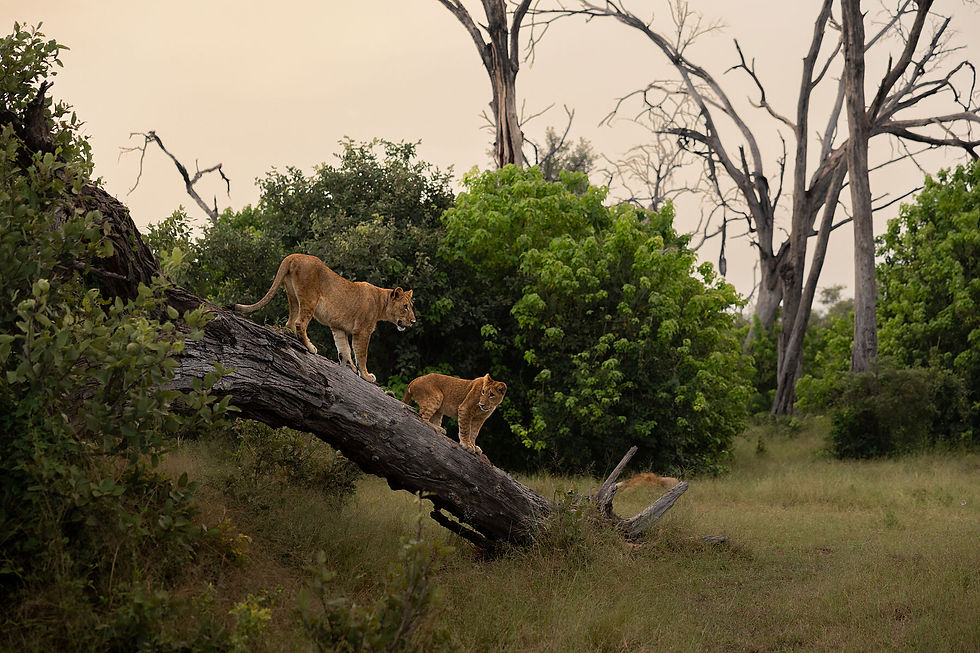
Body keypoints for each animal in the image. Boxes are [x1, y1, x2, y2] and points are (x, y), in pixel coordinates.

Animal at [229, 253, 416, 382]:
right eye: (405, 306)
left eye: (410, 306)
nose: (413, 321)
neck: (381, 302)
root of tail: (293, 255)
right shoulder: (362, 331)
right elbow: (361, 354)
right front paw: (366, 375)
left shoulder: (338, 328)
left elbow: (344, 349)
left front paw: (349, 367)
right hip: (309, 298)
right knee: (300, 323)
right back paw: (310, 347)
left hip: (293, 296)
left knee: (290, 322)